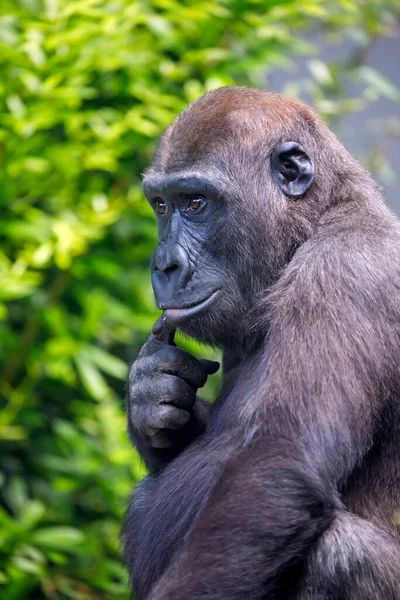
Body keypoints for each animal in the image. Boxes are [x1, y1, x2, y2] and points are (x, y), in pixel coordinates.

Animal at [122, 86, 400, 596]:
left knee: (341, 553)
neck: (321, 218)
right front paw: (150, 392)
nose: (164, 265)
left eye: (196, 202)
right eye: (161, 206)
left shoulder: (342, 271)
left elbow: (279, 462)